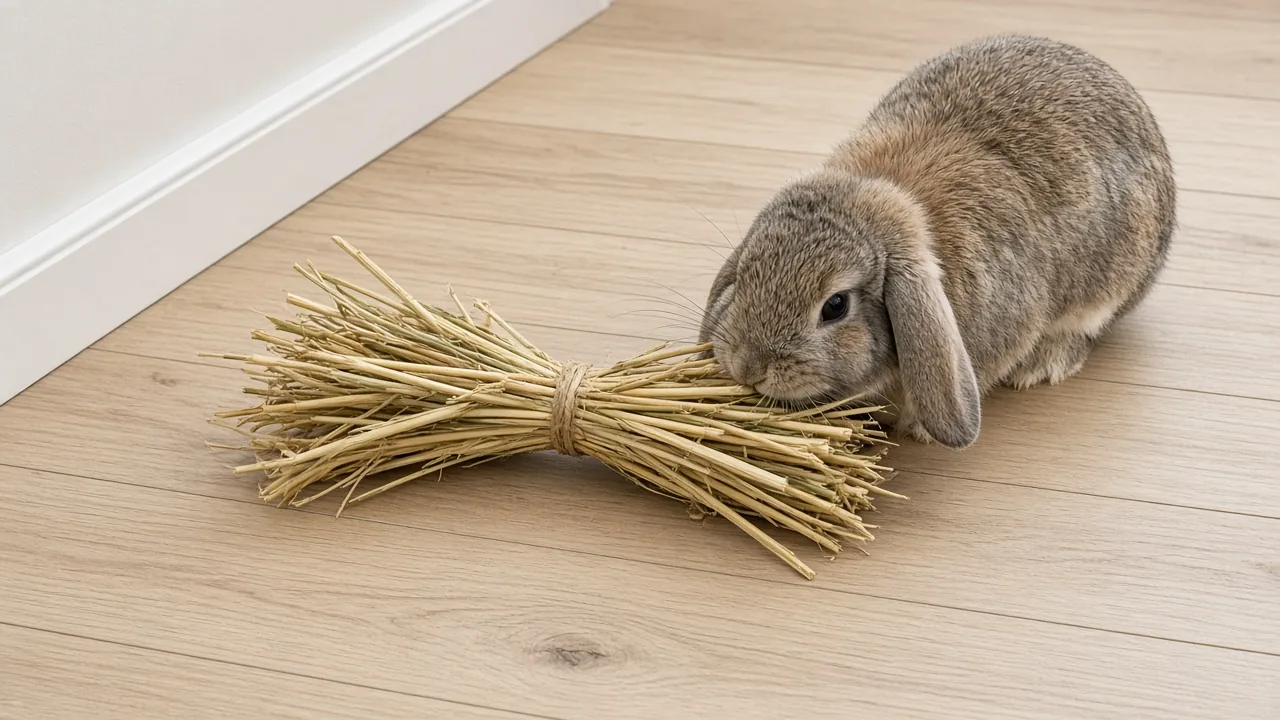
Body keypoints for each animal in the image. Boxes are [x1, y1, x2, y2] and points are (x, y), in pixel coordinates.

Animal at [698, 34, 1176, 449]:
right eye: (745, 273)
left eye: (835, 306)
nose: (748, 366)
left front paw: (918, 429)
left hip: (1110, 287)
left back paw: (1042, 364)